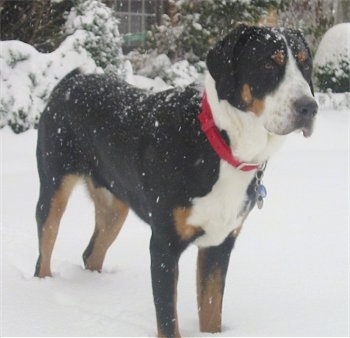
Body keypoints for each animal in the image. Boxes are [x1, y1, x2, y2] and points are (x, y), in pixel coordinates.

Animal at [34, 24, 318, 338]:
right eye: (268, 63)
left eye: (305, 64)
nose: (309, 108)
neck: (221, 143)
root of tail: (71, 82)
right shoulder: (163, 245)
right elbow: (168, 320)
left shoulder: (219, 245)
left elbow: (211, 311)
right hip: (53, 192)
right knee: (44, 253)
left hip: (114, 209)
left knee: (91, 254)